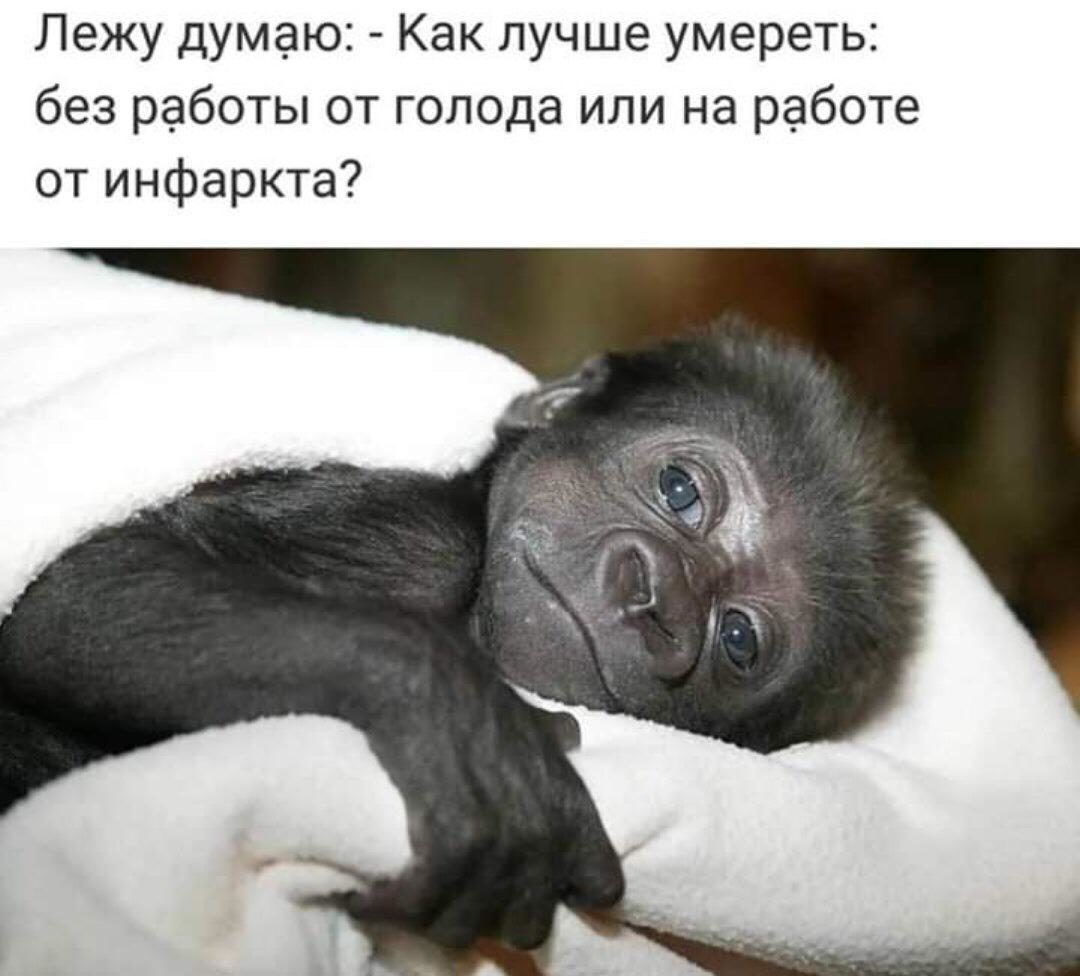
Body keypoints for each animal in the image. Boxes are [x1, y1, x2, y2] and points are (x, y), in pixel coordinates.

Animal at [0, 323, 923, 952]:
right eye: (678, 490)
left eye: (736, 639)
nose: (654, 601)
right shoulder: (415, 538)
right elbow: (71, 598)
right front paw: (457, 718)